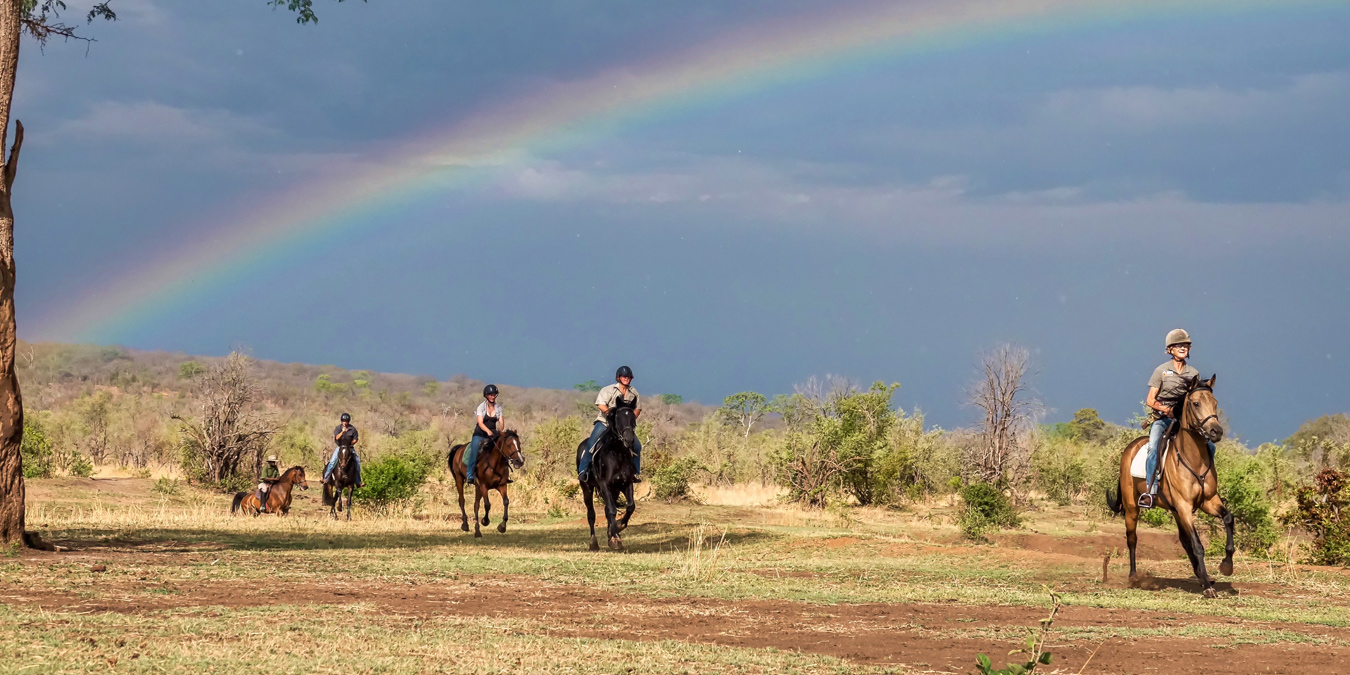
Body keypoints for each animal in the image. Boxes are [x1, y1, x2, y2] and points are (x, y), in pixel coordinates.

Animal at [575, 407, 637, 550]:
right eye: (618, 419)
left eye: (633, 419)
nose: (629, 439)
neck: (617, 454)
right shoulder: (604, 484)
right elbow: (611, 510)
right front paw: (615, 539)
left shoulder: (626, 483)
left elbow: (630, 506)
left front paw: (618, 528)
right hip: (587, 488)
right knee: (591, 514)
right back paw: (593, 543)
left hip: (614, 490)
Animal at [1107, 378, 1236, 599]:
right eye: (1195, 403)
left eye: (1215, 402)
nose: (1216, 431)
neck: (1195, 461)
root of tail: (1129, 448)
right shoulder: (1184, 506)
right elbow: (1198, 545)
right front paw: (1208, 588)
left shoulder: (1208, 501)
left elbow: (1228, 518)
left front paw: (1226, 566)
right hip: (1133, 507)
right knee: (1132, 538)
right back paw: (1133, 577)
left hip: (1175, 510)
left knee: (1183, 540)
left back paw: (1201, 576)